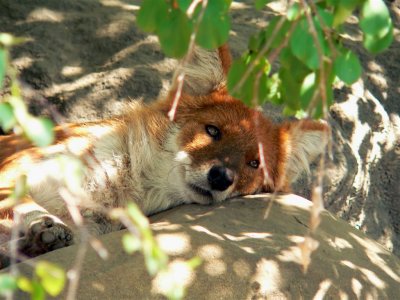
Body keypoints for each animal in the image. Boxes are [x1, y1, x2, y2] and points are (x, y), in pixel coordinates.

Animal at [0, 44, 328, 264]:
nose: (221, 177)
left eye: (254, 163)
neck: (116, 182)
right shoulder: (14, 171)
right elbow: (21, 202)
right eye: (212, 130)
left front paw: (37, 242)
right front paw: (45, 226)